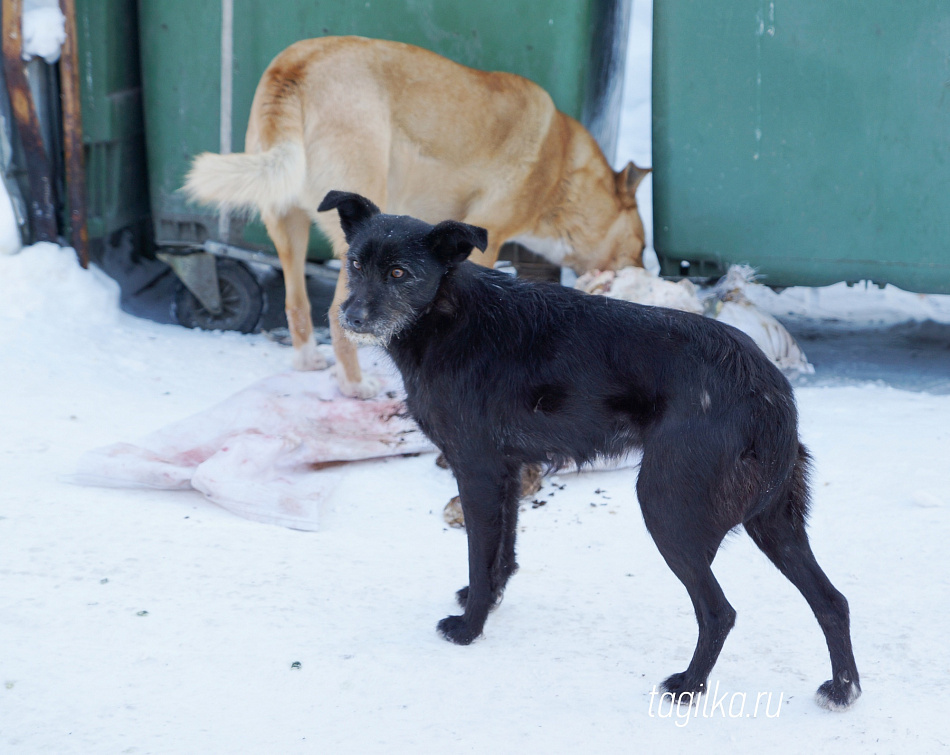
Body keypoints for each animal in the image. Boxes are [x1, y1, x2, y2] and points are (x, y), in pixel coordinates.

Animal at [186, 34, 652, 398]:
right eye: (642, 244)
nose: (646, 272)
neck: (560, 172)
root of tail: (294, 66)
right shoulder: (488, 237)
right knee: (336, 318)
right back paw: (355, 386)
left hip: (286, 225)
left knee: (297, 303)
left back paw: (308, 361)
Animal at [320, 192, 864, 712]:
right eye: (354, 263)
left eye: (399, 273)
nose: (350, 317)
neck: (445, 315)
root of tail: (771, 392)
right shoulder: (508, 470)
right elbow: (501, 554)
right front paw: (488, 599)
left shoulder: (475, 469)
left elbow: (479, 554)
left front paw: (468, 628)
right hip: (774, 523)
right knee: (832, 601)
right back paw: (843, 691)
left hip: (667, 509)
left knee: (719, 612)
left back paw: (689, 686)